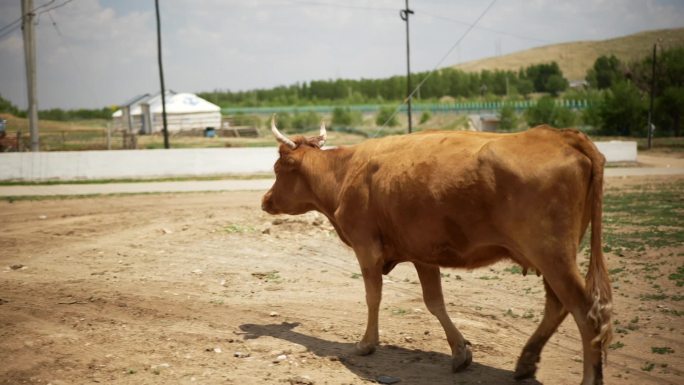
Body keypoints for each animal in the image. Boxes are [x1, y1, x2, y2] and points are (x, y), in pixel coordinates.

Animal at [260, 118, 608, 384]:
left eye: (277, 169)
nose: (265, 200)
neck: (346, 171)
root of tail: (560, 135)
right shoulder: (421, 253)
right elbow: (434, 302)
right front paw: (460, 352)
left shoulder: (366, 247)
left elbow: (373, 296)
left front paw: (366, 343)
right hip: (552, 259)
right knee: (557, 306)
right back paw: (525, 362)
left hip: (553, 257)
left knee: (584, 312)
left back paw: (587, 377)